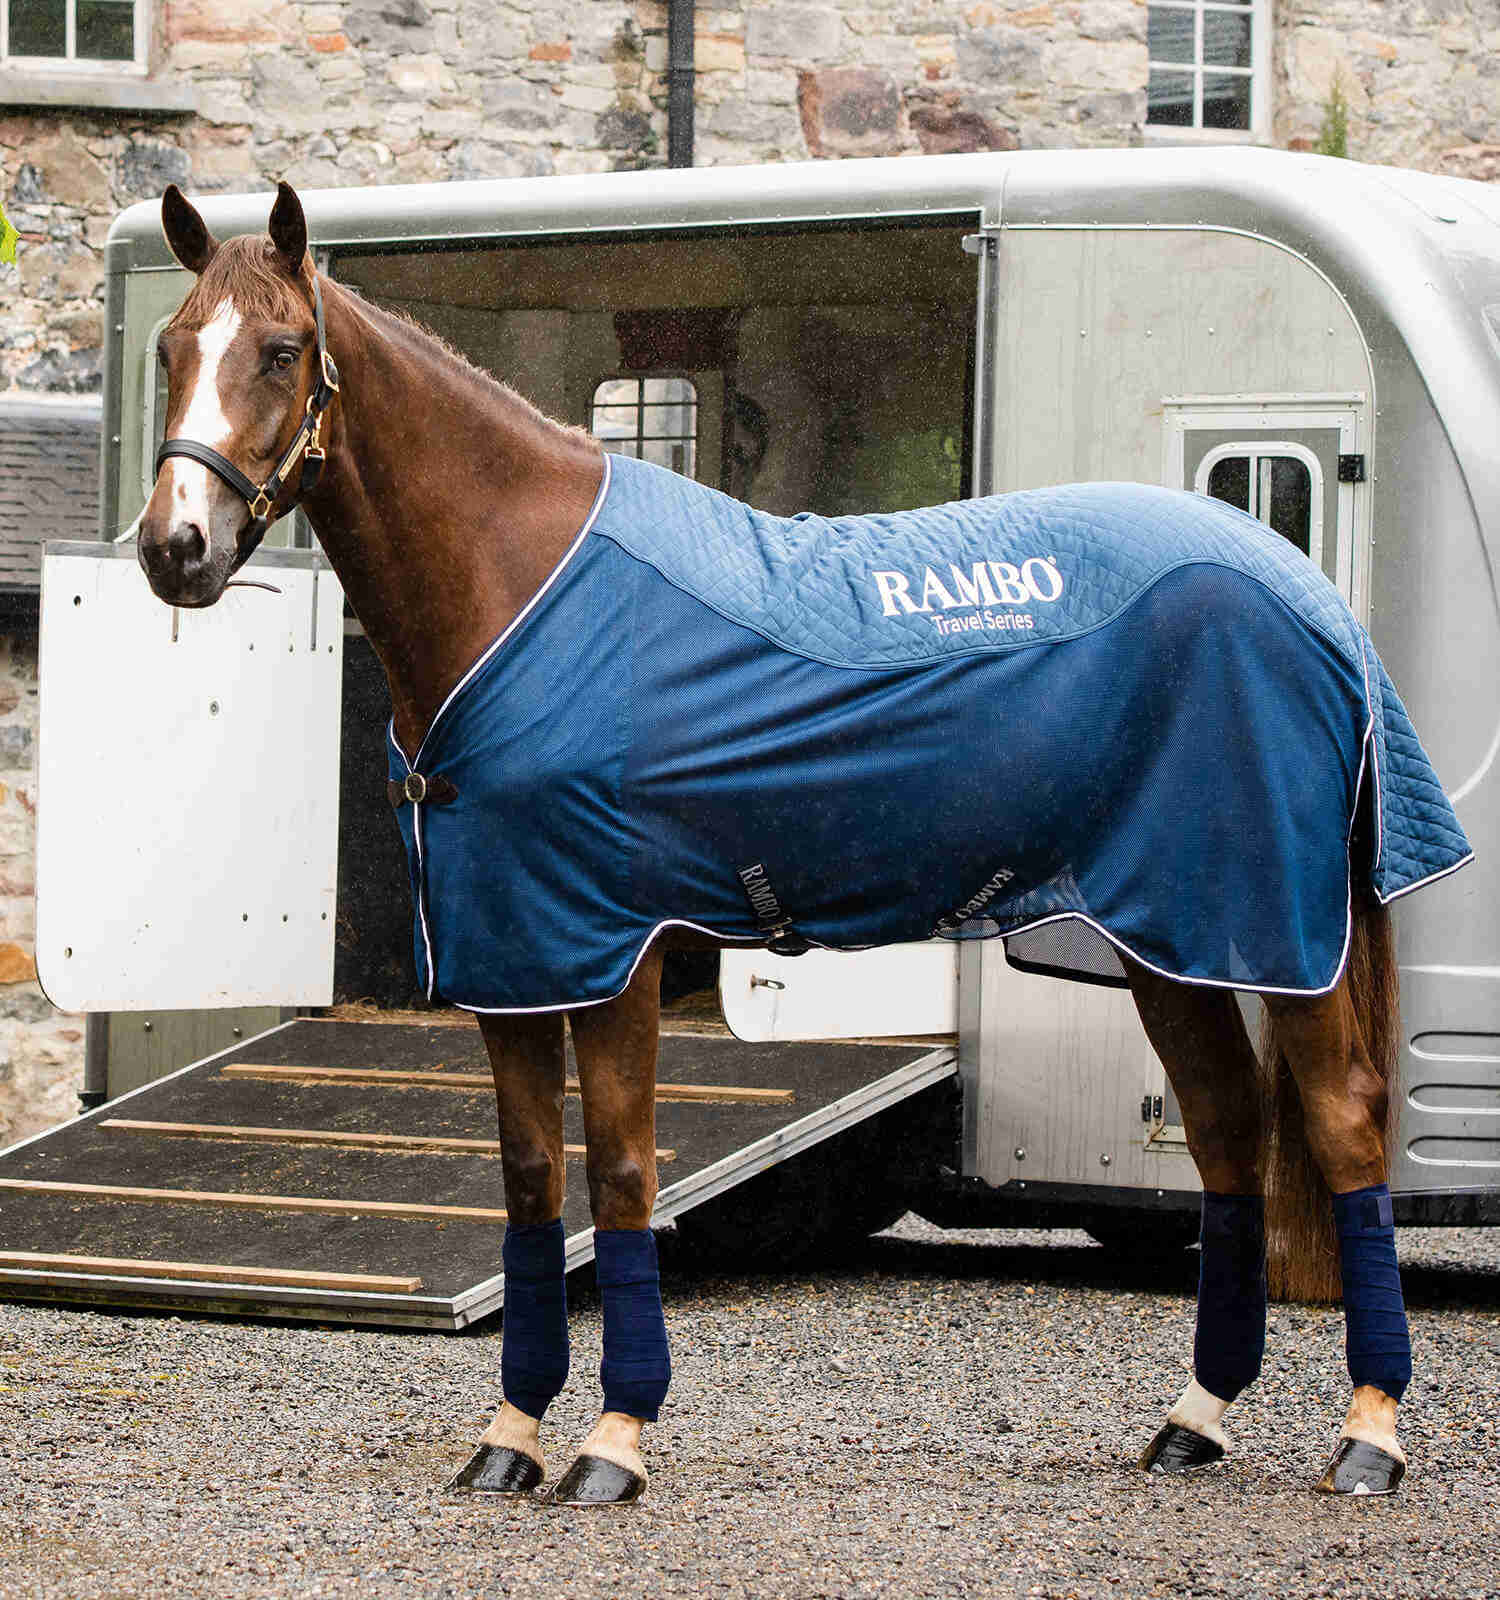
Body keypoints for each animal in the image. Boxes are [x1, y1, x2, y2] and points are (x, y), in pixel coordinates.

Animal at [135, 180, 1470, 1504]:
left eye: (281, 350)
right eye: (171, 349)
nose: (173, 548)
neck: (525, 587)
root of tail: (1310, 596)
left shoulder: (616, 948)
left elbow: (622, 1171)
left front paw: (614, 1441)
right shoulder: (516, 956)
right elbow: (529, 1180)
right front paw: (512, 1435)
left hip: (1283, 927)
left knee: (1345, 1122)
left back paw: (1371, 1432)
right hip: (1170, 939)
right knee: (1227, 1131)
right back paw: (1198, 1416)